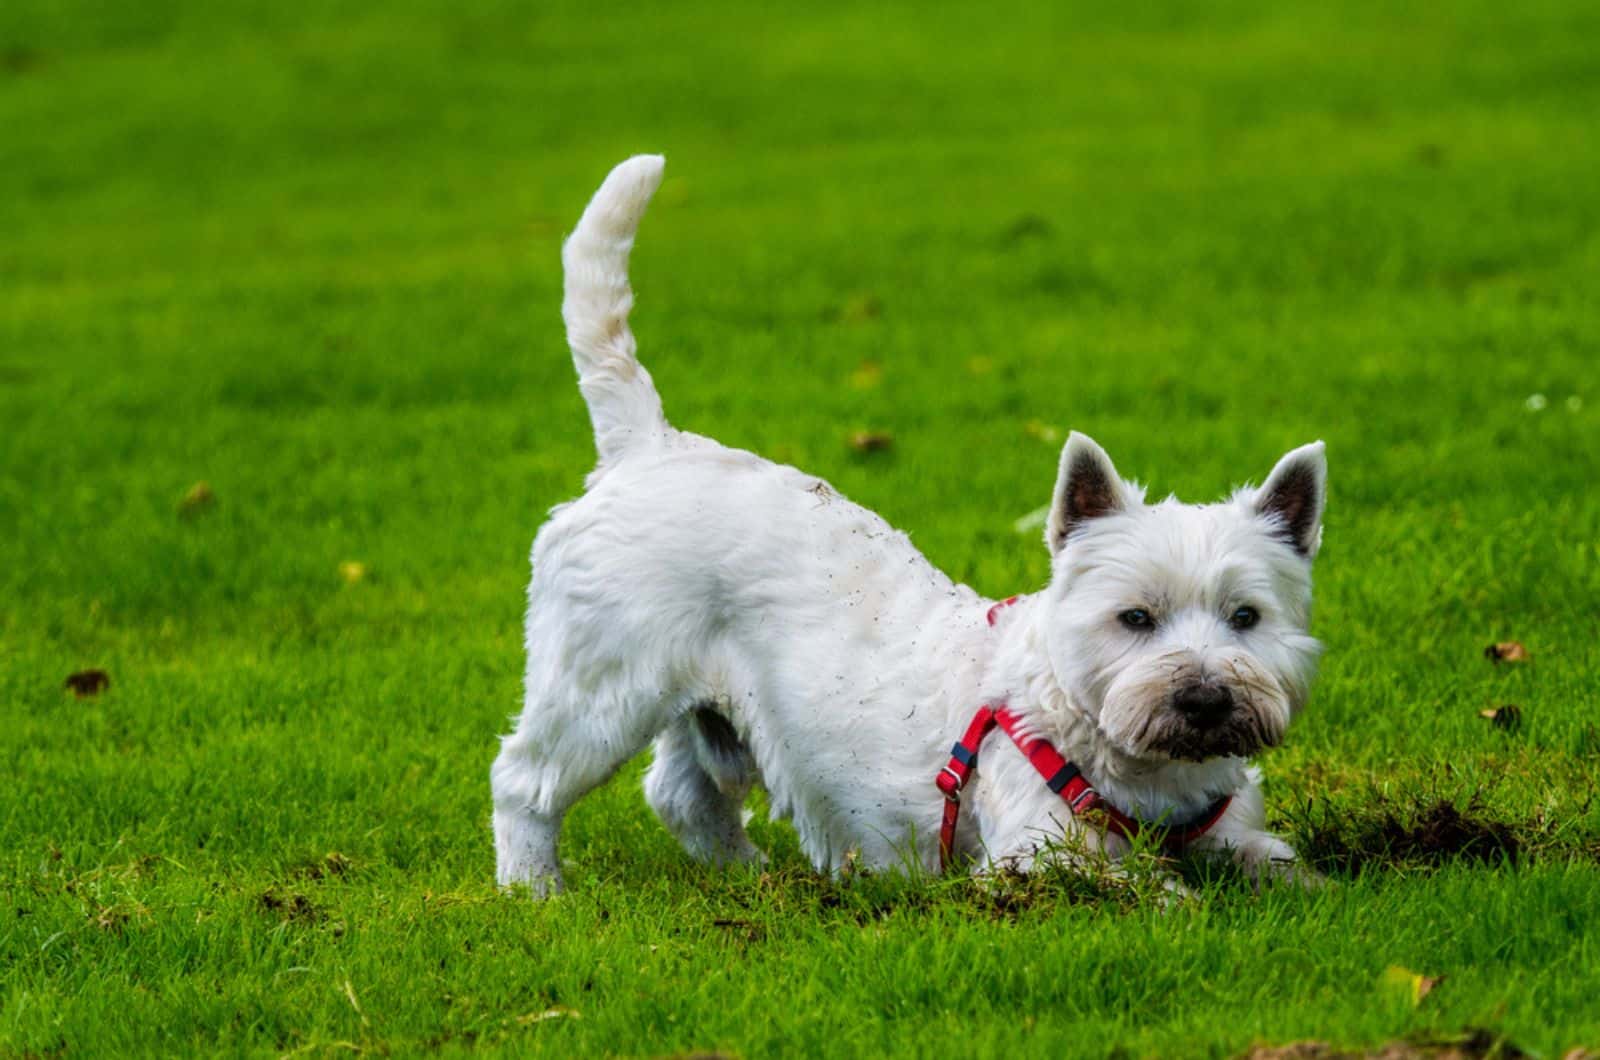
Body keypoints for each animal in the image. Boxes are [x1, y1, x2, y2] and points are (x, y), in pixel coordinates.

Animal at [489, 157, 1324, 896]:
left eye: (1245, 617)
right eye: (1136, 618)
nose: (1205, 700)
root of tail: (648, 444)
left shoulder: (1228, 827)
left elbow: (1277, 863)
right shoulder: (1036, 853)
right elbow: (1147, 889)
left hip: (709, 703)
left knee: (683, 794)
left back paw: (753, 877)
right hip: (602, 681)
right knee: (525, 780)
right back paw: (536, 890)